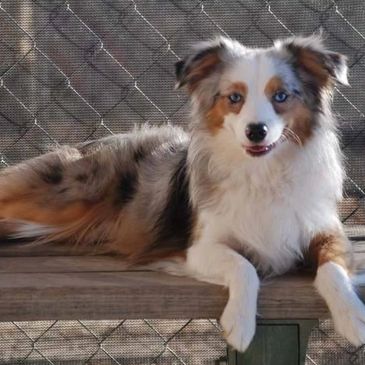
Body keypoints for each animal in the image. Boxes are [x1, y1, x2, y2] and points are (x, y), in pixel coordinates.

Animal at [0, 34, 364, 352]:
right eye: (235, 98)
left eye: (282, 96)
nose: (256, 131)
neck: (262, 172)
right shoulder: (200, 248)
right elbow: (244, 266)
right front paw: (240, 323)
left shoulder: (327, 231)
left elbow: (332, 271)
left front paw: (353, 319)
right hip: (60, 198)